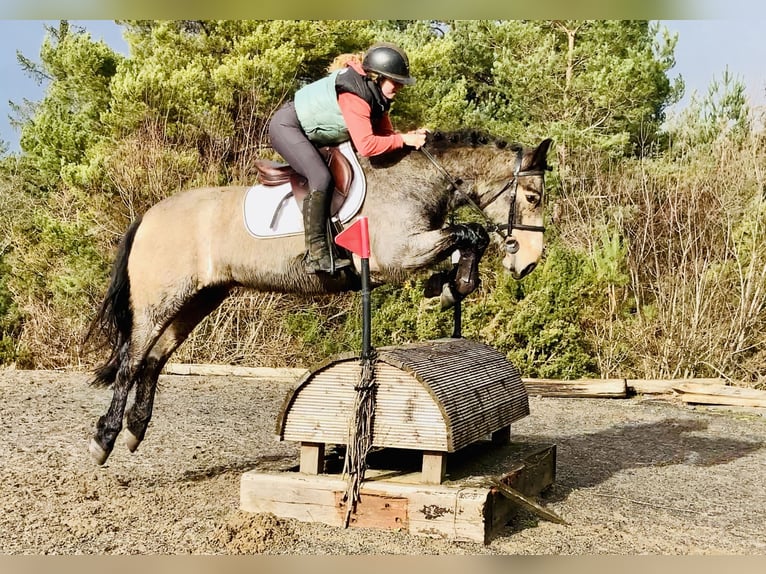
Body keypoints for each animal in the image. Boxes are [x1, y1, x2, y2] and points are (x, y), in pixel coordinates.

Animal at [86, 132, 553, 465]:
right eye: (533, 197)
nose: (529, 263)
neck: (414, 181)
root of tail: (147, 215)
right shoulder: (396, 255)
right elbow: (466, 234)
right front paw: (444, 289)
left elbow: (470, 236)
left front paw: (446, 289)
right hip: (160, 300)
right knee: (132, 360)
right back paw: (105, 439)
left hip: (201, 297)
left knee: (154, 358)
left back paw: (135, 431)